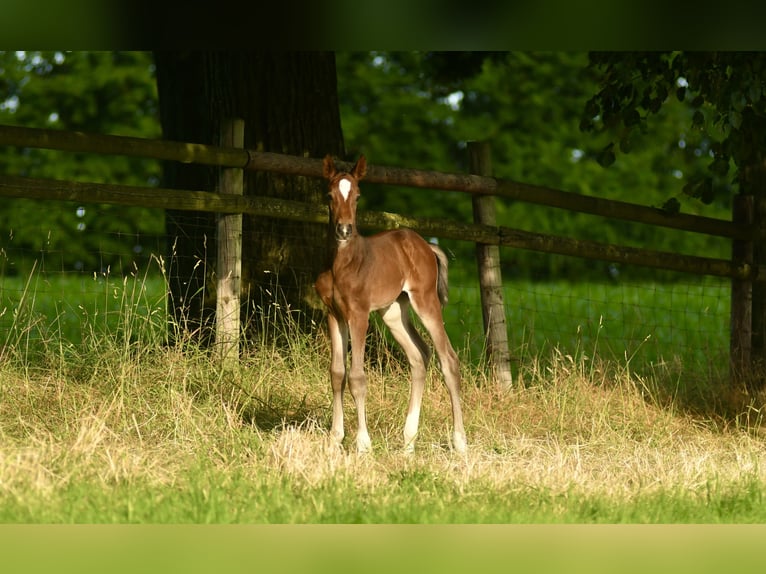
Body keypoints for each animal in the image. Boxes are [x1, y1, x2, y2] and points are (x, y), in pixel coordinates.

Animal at [314, 156, 468, 454]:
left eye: (358, 195)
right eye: (329, 195)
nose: (344, 230)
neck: (342, 263)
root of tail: (427, 246)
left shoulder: (359, 315)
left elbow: (357, 377)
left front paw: (363, 443)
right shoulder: (334, 314)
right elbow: (337, 373)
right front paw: (334, 440)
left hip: (426, 301)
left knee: (448, 359)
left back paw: (460, 441)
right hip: (394, 312)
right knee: (419, 356)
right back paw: (408, 442)